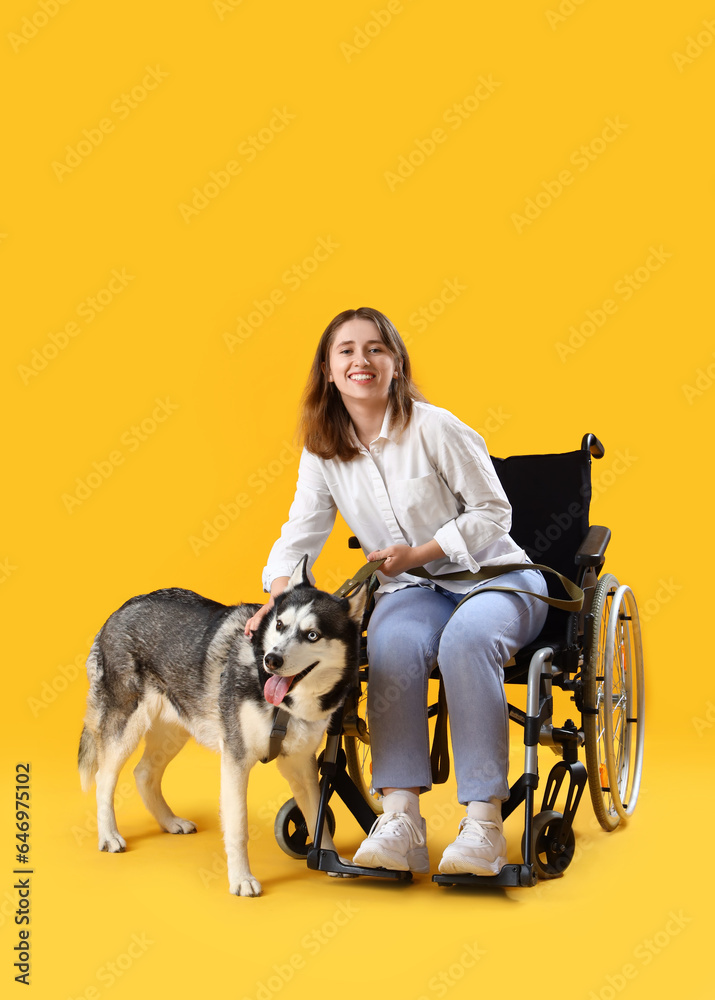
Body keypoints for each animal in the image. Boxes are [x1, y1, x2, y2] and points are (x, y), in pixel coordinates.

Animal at [79, 556, 370, 900]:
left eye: (312, 635)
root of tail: (121, 609)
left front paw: (329, 858)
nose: (272, 660)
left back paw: (170, 821)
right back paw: (109, 835)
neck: (284, 707)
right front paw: (241, 879)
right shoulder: (236, 759)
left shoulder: (300, 765)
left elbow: (318, 815)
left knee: (144, 773)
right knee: (104, 778)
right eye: (280, 625)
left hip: (175, 730)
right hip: (124, 727)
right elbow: (238, 826)